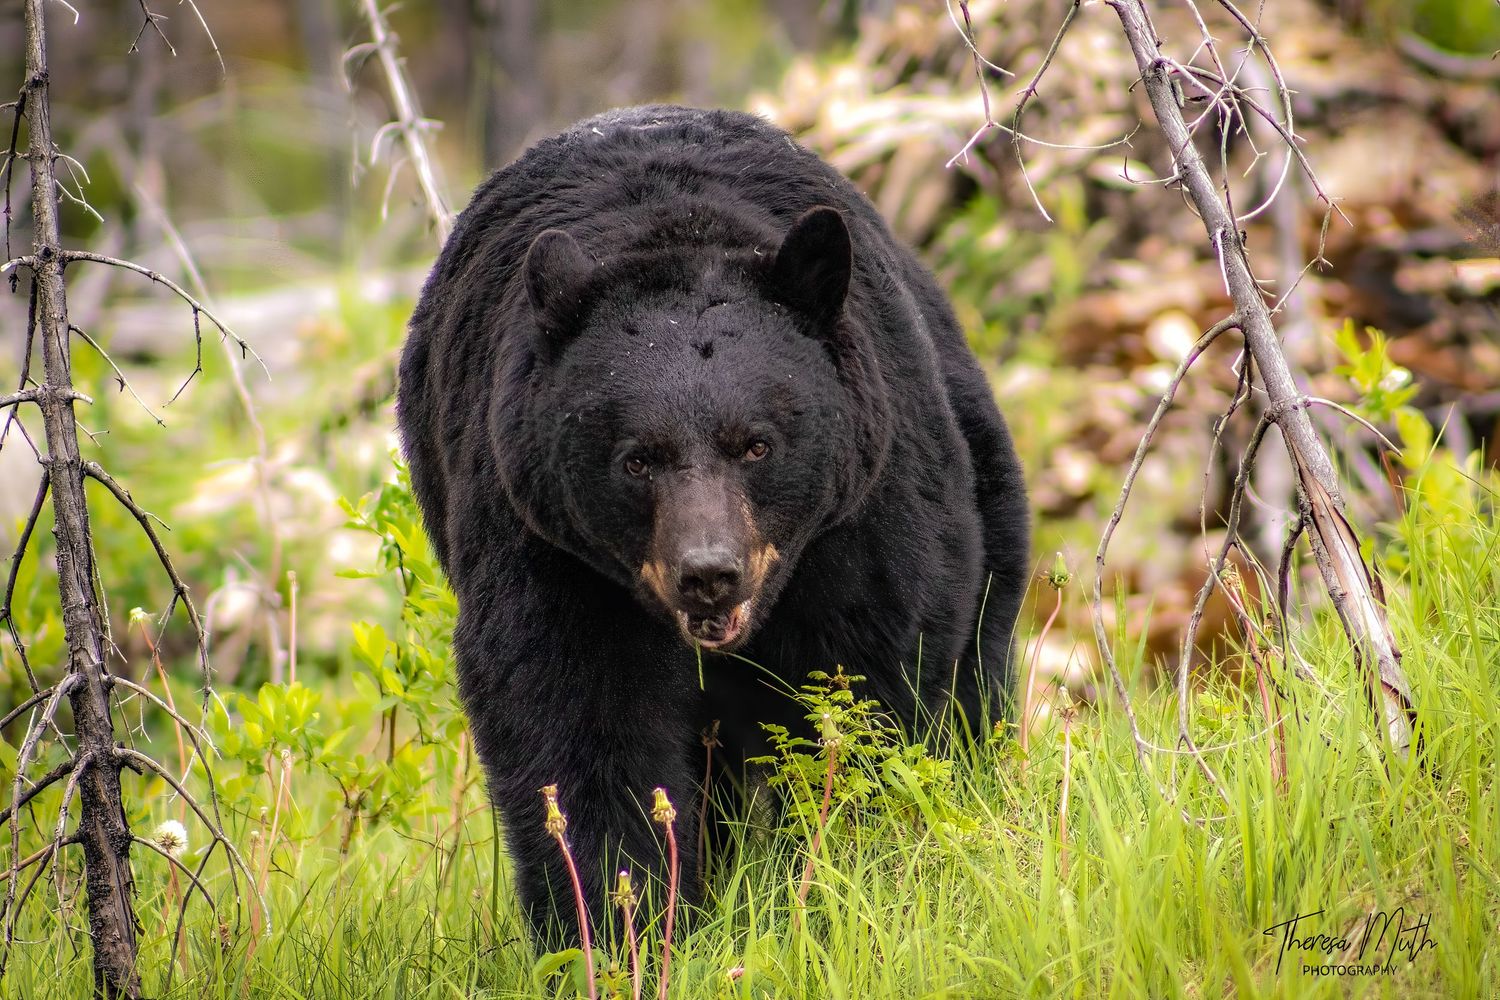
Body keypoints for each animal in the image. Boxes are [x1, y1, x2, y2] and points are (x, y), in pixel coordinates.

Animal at [396, 105, 1029, 947]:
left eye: (757, 443)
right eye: (637, 459)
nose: (708, 572)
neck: (673, 234)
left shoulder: (864, 515)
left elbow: (863, 689)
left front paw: (841, 881)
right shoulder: (544, 542)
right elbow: (578, 721)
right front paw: (619, 925)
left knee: (978, 669)